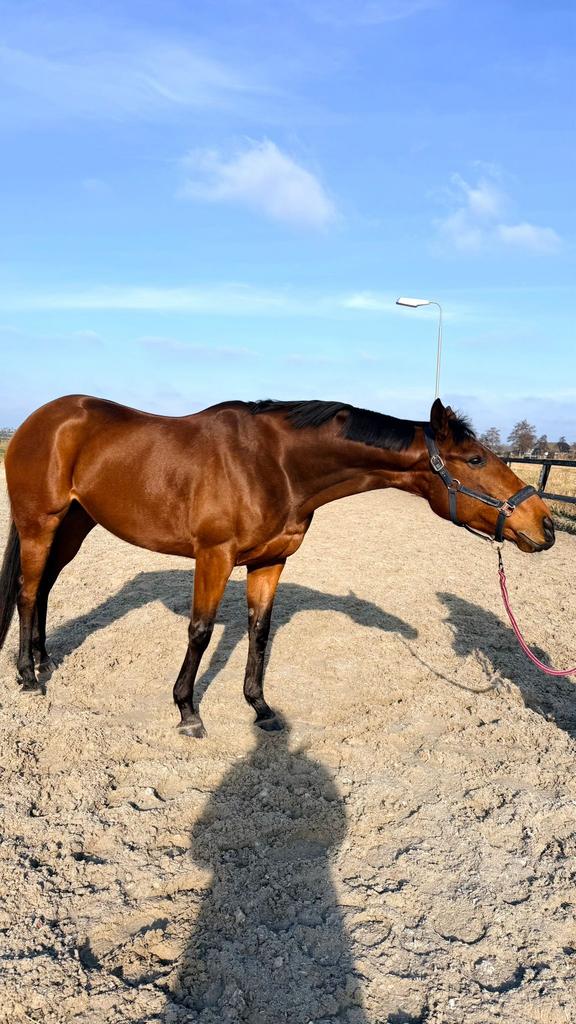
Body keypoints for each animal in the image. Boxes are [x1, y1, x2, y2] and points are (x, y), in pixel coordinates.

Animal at [0, 395, 554, 737]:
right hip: (39, 523)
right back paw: (27, 676)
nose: (545, 524)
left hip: (75, 524)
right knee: (27, 590)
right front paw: (187, 712)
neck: (275, 465)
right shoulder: (214, 556)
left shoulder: (270, 562)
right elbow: (200, 631)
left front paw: (261, 709)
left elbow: (259, 631)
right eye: (476, 460)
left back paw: (45, 661)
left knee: (45, 587)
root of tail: (39, 419)